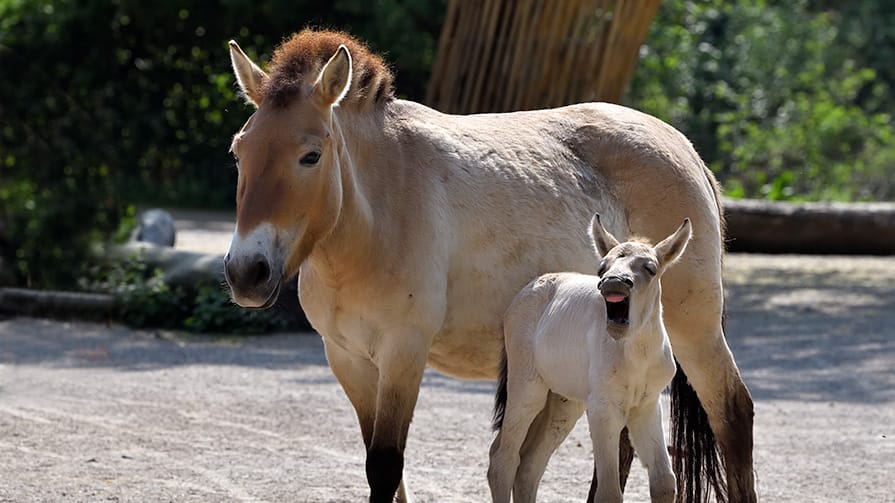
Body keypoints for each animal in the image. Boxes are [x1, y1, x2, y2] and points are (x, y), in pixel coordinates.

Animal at [490, 214, 692, 503]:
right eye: (602, 267)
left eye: (651, 268)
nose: (614, 282)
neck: (635, 356)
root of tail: (525, 291)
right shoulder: (603, 410)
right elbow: (609, 492)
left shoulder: (646, 407)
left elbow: (664, 482)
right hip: (528, 390)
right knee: (503, 459)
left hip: (563, 404)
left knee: (528, 465)